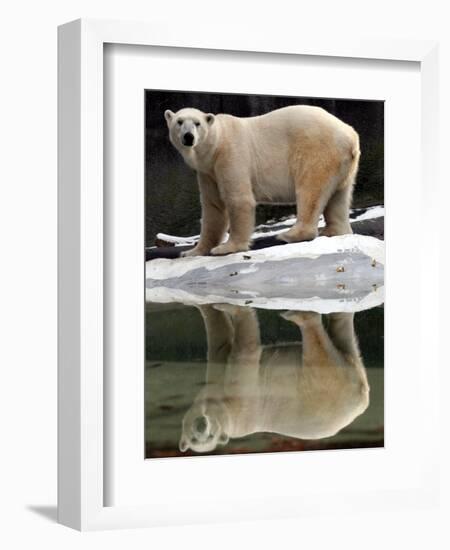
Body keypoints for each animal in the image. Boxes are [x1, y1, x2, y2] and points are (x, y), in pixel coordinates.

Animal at [163, 106, 360, 258]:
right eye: (179, 122)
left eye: (197, 123)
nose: (188, 136)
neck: (216, 145)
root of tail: (350, 136)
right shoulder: (208, 172)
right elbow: (213, 208)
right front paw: (191, 251)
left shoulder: (231, 156)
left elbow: (239, 200)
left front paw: (227, 247)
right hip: (343, 164)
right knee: (339, 196)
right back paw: (335, 230)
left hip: (316, 151)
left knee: (310, 189)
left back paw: (289, 235)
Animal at [178, 306, 370, 458]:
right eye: (194, 439)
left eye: (211, 436)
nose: (201, 426)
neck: (223, 411)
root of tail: (361, 397)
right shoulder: (237, 404)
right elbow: (238, 349)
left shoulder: (228, 396)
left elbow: (228, 345)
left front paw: (212, 305)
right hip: (328, 380)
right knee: (334, 341)